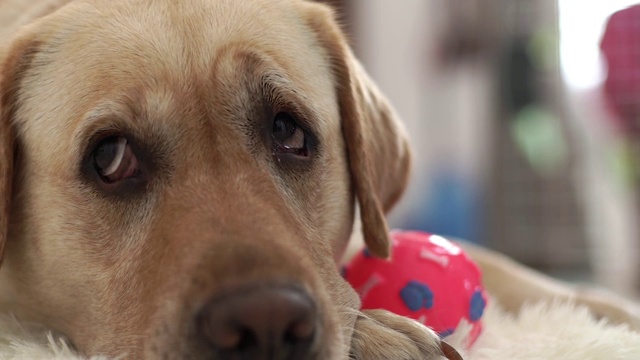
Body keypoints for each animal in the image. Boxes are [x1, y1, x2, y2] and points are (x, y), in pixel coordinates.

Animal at [1, 0, 640, 360]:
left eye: (289, 131)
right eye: (110, 159)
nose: (263, 325)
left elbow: (514, 270)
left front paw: (612, 310)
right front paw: (381, 336)